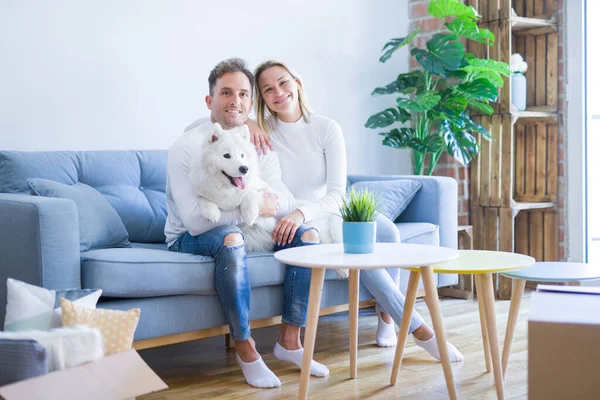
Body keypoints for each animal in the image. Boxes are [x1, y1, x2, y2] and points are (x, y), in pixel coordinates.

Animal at [192, 123, 342, 262]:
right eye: (226, 156)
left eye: (242, 155)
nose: (244, 168)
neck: (228, 190)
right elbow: (202, 198)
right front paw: (212, 212)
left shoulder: (264, 191)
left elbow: (252, 194)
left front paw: (250, 214)